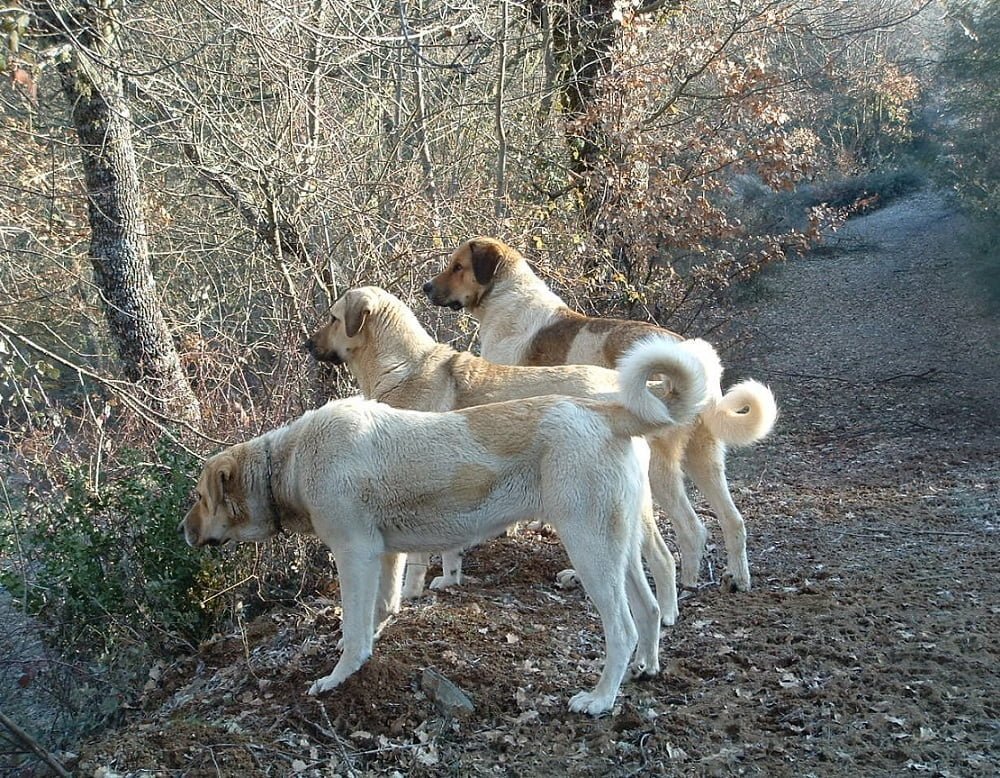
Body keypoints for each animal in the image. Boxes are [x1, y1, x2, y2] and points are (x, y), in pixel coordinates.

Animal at [184, 336, 708, 712]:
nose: (183, 531)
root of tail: (610, 412)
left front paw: (337, 678)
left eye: (199, 498)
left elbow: (352, 628)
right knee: (646, 610)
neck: (287, 463)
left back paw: (599, 699)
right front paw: (367, 656)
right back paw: (645, 668)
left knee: (622, 627)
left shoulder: (355, 556)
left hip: (591, 551)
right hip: (618, 548)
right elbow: (380, 611)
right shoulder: (386, 555)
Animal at [304, 284, 728, 624]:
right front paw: (450, 579)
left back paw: (662, 611)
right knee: (660, 553)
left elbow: (418, 559)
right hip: (632, 503)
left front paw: (411, 592)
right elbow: (450, 549)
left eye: (333, 317)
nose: (308, 344)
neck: (403, 368)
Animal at [424, 236, 780, 588]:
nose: (426, 287)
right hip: (704, 459)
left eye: (458, 266)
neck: (505, 297)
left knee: (689, 529)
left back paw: (676, 582)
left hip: (658, 467)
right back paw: (736, 578)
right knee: (733, 521)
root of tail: (691, 359)